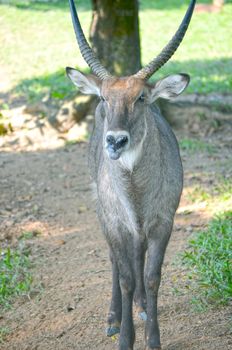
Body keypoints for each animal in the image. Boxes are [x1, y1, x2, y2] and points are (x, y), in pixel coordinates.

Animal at [66, 0, 197, 350]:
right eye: (103, 97)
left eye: (141, 97)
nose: (115, 141)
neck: (136, 192)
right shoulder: (114, 221)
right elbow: (124, 276)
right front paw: (125, 337)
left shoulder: (164, 221)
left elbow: (152, 277)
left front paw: (152, 338)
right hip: (105, 214)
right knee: (116, 259)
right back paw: (114, 317)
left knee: (138, 253)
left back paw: (139, 306)